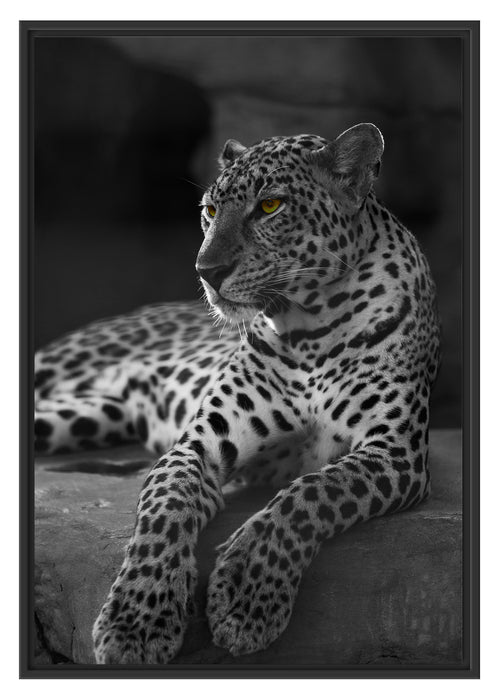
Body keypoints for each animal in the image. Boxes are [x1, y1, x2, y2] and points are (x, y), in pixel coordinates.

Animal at [34, 123, 441, 664]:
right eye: (209, 210)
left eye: (269, 206)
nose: (207, 271)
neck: (310, 327)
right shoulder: (196, 446)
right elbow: (165, 508)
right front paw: (137, 620)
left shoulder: (395, 452)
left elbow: (312, 492)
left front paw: (248, 595)